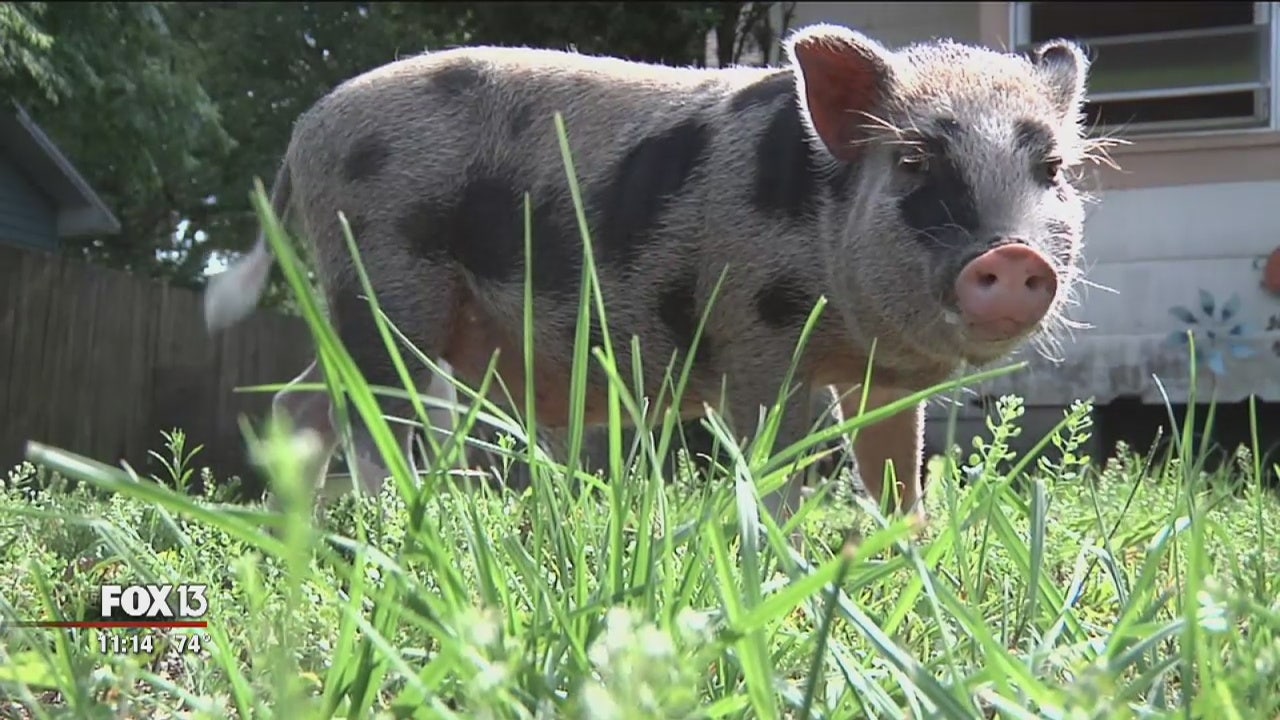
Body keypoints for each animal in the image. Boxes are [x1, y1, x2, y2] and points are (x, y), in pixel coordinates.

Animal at [203, 23, 1096, 528]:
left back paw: (307, 524)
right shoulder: (757, 336)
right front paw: (782, 550)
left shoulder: (883, 379)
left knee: (302, 403)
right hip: (384, 283)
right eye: (913, 163)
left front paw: (906, 546)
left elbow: (894, 468)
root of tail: (305, 132)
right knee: (373, 415)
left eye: (1051, 170)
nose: (1011, 255)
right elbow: (779, 460)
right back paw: (404, 523)